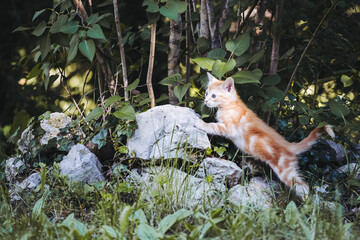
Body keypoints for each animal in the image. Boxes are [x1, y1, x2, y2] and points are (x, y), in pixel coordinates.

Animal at [194, 72, 334, 197]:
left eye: (213, 95)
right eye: (206, 93)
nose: (205, 101)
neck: (230, 105)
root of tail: (289, 145)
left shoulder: (229, 128)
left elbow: (213, 126)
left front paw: (200, 123)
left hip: (286, 172)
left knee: (303, 186)